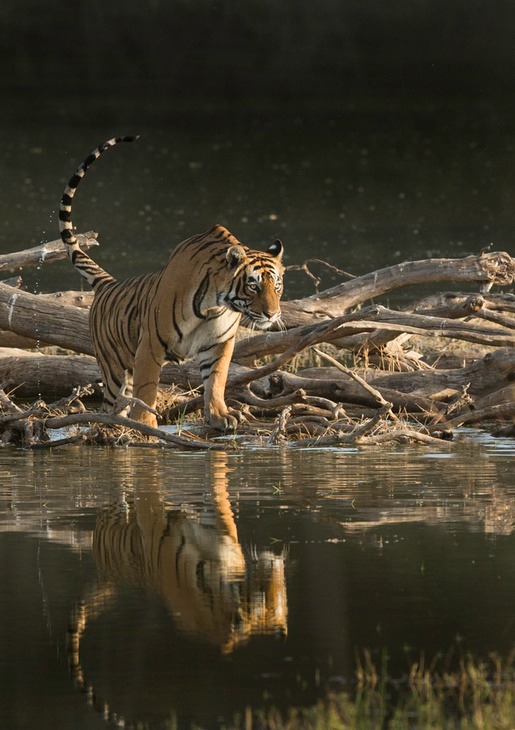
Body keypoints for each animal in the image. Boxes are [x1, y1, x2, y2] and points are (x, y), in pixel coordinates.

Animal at [60, 136, 286, 426]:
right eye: (253, 286)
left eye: (277, 286)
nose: (272, 314)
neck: (216, 304)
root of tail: (108, 284)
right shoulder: (150, 345)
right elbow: (147, 389)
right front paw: (146, 425)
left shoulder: (220, 343)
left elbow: (216, 380)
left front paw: (219, 415)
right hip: (114, 368)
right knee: (112, 402)